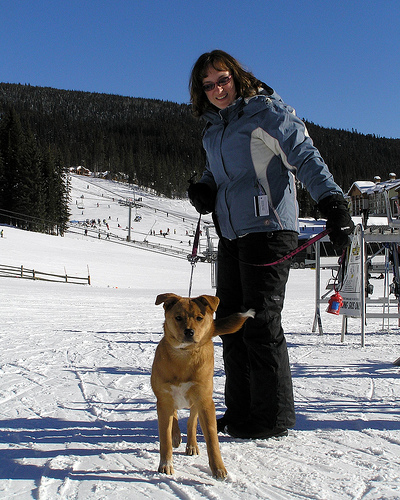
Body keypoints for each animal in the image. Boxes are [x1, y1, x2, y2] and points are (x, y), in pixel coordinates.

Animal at [151, 292, 254, 479]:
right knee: (175, 417)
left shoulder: (204, 401)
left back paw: (191, 445)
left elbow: (211, 438)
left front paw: (219, 469)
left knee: (191, 421)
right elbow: (165, 437)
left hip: (195, 401)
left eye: (199, 317)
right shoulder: (164, 399)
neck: (184, 356)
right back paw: (176, 436)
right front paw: (165, 464)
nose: (189, 331)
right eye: (178, 317)